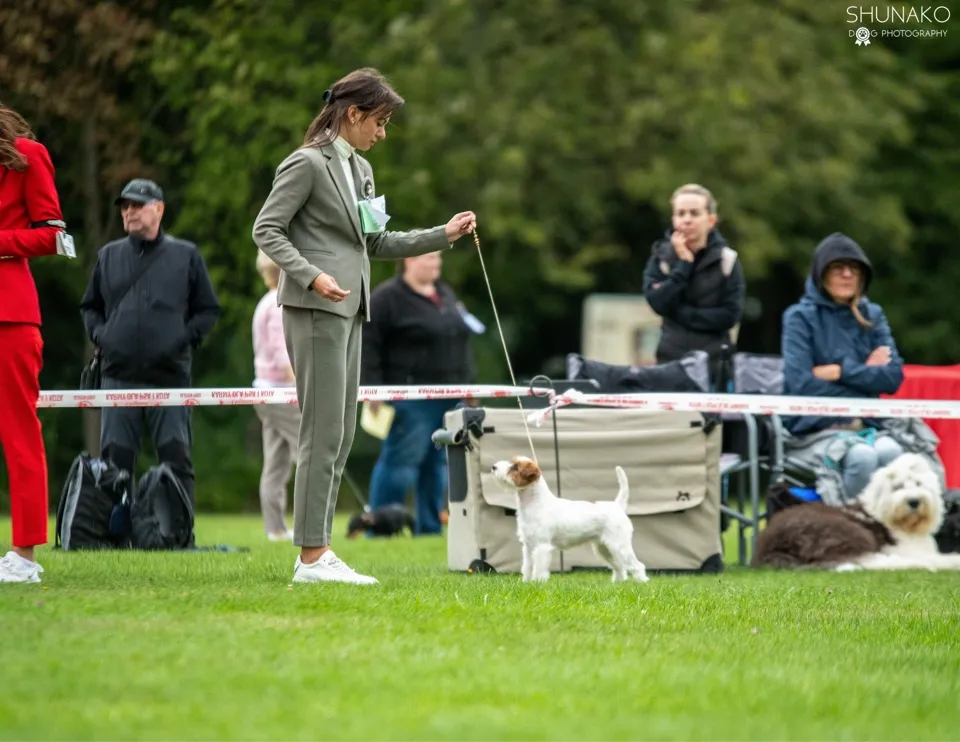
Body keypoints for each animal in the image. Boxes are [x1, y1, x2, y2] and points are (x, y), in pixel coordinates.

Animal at [492, 456, 648, 584]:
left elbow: (539, 568)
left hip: (619, 545)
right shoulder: (528, 546)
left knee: (637, 565)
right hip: (604, 548)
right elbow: (528, 566)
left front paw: (538, 583)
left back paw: (642, 582)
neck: (535, 503)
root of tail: (617, 506)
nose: (493, 467)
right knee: (619, 567)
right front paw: (527, 583)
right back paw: (618, 583)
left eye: (515, 467)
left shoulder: (542, 546)